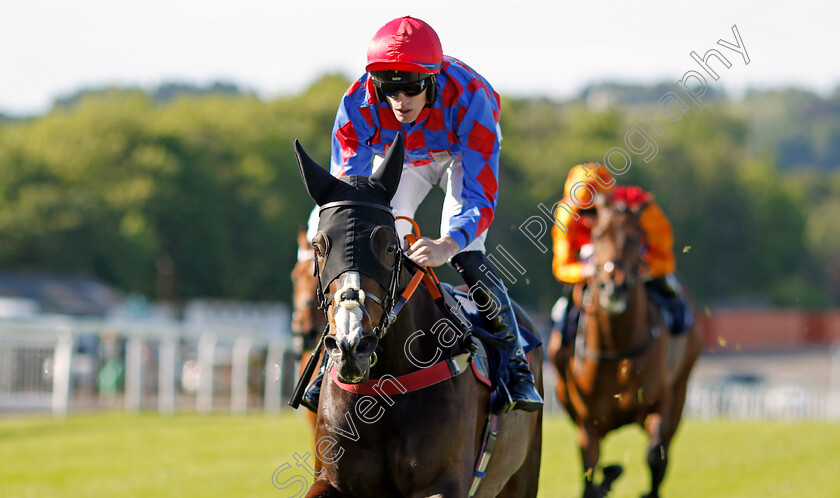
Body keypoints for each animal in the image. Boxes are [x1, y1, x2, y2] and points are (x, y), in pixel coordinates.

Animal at [548, 192, 704, 498]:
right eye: (598, 234)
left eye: (635, 236)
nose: (614, 285)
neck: (617, 345)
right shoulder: (588, 423)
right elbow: (590, 474)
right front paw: (609, 475)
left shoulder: (659, 402)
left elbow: (655, 455)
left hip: (681, 388)